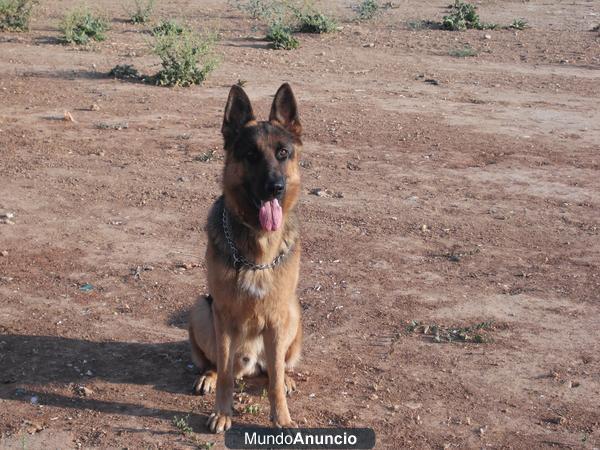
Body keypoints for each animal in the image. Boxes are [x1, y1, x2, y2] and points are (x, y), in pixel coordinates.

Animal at [190, 83, 304, 432]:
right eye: (251, 155)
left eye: (283, 153)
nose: (275, 188)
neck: (259, 249)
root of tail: (251, 362)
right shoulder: (223, 315)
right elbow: (227, 373)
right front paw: (222, 413)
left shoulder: (278, 317)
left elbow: (276, 379)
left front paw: (282, 418)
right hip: (201, 309)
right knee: (219, 364)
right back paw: (208, 376)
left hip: (294, 312)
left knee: (275, 370)